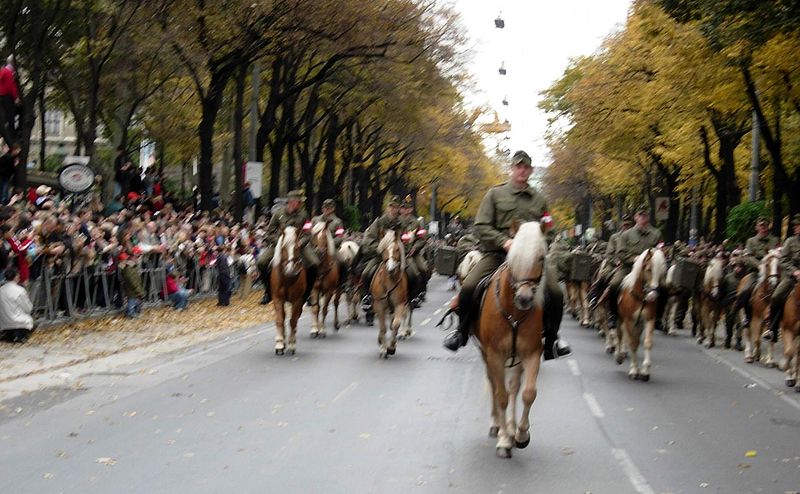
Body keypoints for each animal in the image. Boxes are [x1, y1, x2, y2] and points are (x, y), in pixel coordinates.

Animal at [268, 226, 306, 356]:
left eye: (297, 247)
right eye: (284, 247)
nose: (290, 270)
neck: (287, 279)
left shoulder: (297, 300)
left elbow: (292, 321)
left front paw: (292, 344)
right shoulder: (277, 299)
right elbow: (280, 319)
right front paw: (279, 344)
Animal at [476, 222, 552, 458]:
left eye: (541, 257)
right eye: (513, 257)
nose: (525, 298)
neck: (515, 313)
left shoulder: (531, 353)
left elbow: (527, 393)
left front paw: (520, 435)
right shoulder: (494, 355)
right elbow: (500, 395)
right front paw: (503, 441)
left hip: (516, 358)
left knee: (514, 388)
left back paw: (509, 428)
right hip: (487, 355)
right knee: (495, 385)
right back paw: (497, 426)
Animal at [612, 249, 668, 380]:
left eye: (662, 271)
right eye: (649, 269)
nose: (653, 296)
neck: (640, 298)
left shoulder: (649, 319)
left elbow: (647, 343)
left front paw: (644, 371)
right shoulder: (628, 320)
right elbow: (632, 343)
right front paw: (633, 370)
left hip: (639, 325)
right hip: (621, 320)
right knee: (621, 335)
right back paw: (619, 355)